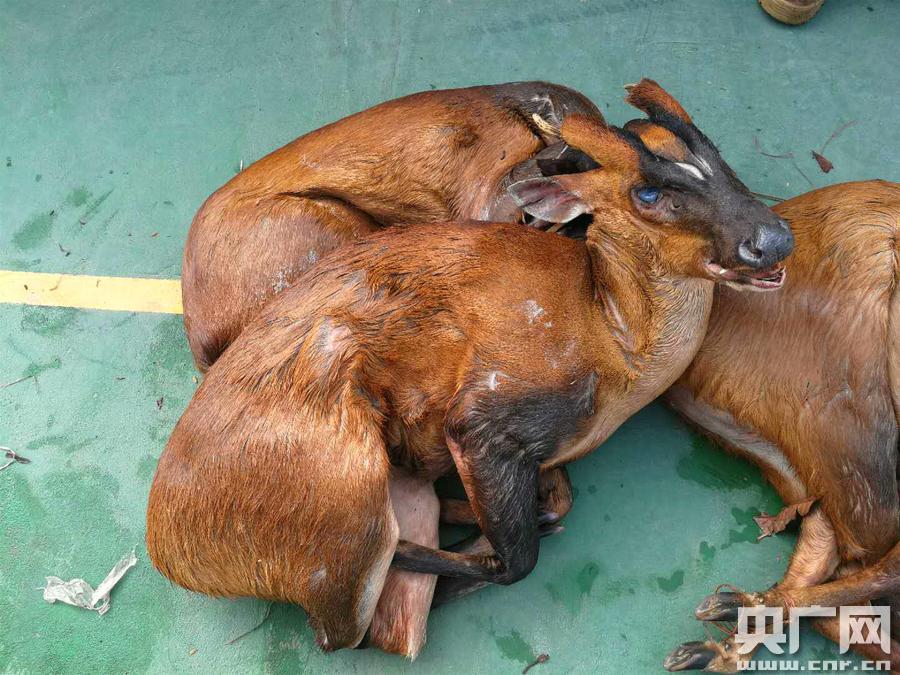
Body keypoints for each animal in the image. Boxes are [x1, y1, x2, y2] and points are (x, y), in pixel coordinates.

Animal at [146, 83, 793, 659]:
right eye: (649, 194)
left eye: (718, 156)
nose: (773, 238)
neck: (616, 339)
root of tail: (169, 547)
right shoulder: (485, 417)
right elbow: (517, 560)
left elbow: (558, 500)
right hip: (344, 497)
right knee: (355, 626)